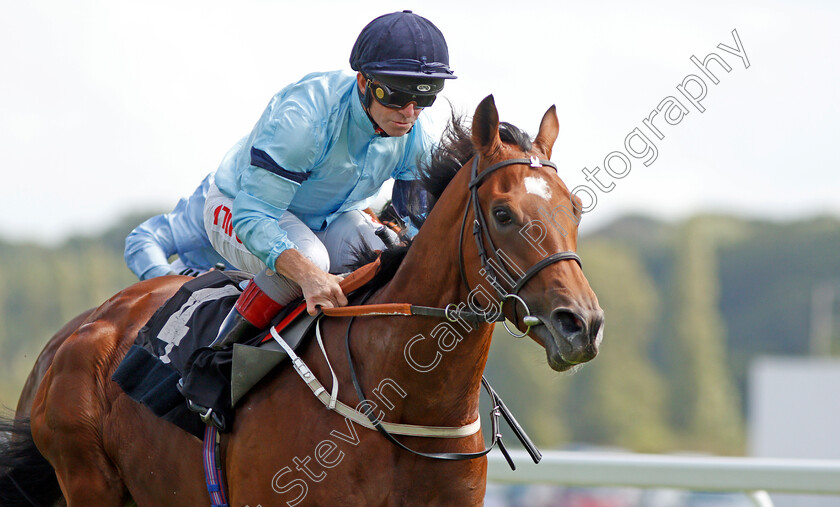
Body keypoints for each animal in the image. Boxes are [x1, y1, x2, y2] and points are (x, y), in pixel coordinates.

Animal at [0, 94, 604, 504]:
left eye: (574, 208)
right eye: (503, 214)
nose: (581, 324)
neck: (405, 399)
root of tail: (76, 332)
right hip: (88, 480)